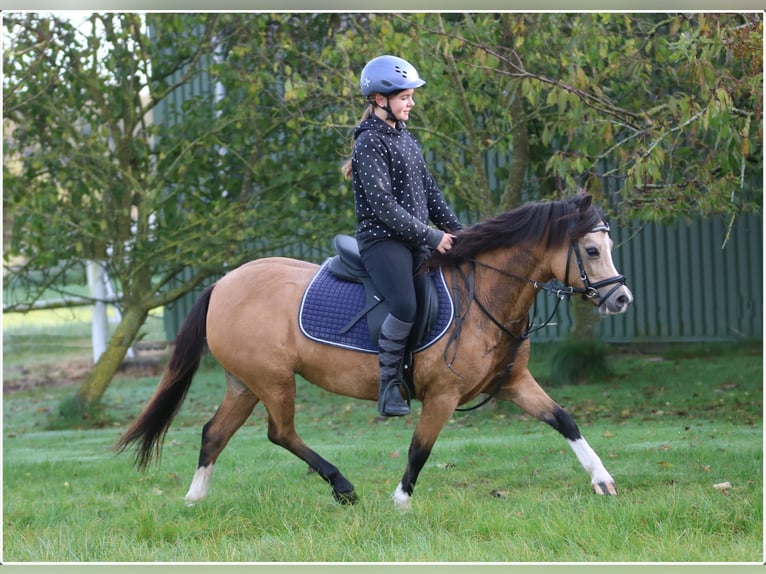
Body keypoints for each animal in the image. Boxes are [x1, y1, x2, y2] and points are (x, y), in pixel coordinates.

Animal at [117, 196, 636, 510]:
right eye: (592, 250)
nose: (621, 299)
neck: (484, 293)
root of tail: (224, 283)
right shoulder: (443, 395)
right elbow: (420, 448)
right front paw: (401, 502)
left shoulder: (513, 383)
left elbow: (564, 420)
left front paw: (603, 480)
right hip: (273, 381)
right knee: (279, 433)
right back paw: (343, 486)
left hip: (244, 384)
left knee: (214, 434)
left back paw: (195, 499)